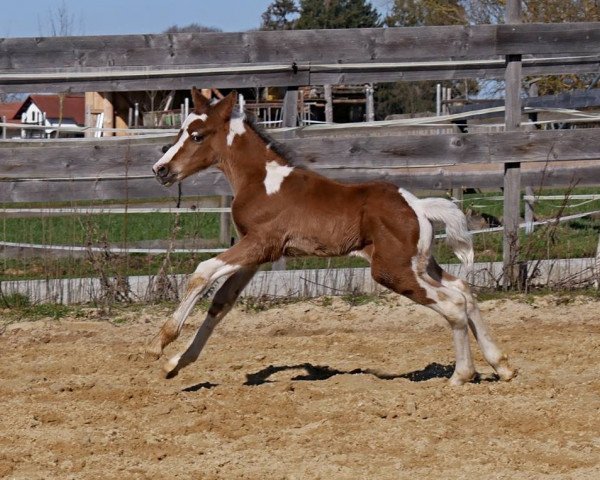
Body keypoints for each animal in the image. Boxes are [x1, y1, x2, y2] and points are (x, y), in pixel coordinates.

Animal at [149, 87, 516, 386]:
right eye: (180, 130)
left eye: (197, 135)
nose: (160, 170)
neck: (262, 180)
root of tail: (418, 206)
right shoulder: (256, 257)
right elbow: (222, 301)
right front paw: (176, 364)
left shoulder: (261, 244)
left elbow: (203, 272)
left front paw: (160, 343)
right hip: (421, 265)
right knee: (464, 291)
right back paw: (502, 366)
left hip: (392, 270)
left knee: (453, 304)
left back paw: (461, 375)